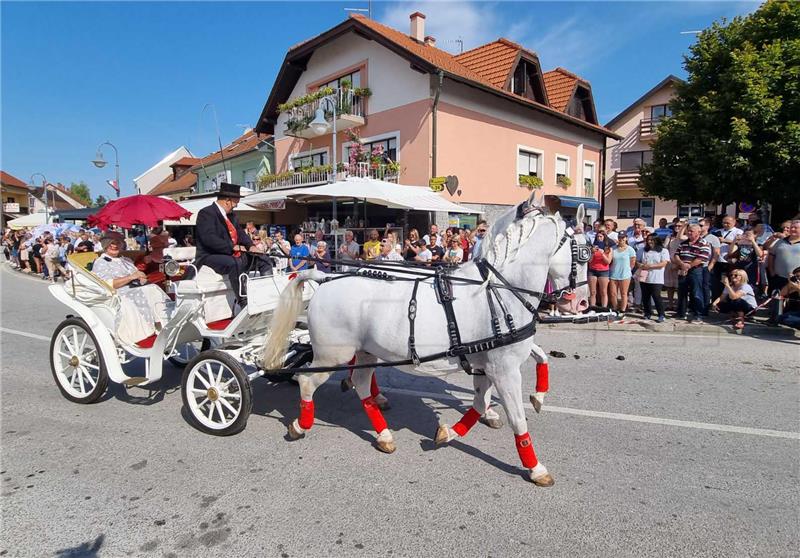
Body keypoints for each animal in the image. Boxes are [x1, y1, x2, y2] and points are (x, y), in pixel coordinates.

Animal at [260, 191, 588, 486]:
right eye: (582, 252)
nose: (580, 302)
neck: (497, 290)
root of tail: (323, 279)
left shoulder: (486, 363)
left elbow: (483, 400)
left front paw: (451, 431)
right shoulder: (503, 369)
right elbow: (517, 418)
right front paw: (536, 468)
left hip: (365, 352)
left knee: (362, 383)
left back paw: (383, 433)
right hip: (332, 355)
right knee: (306, 381)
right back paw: (301, 425)